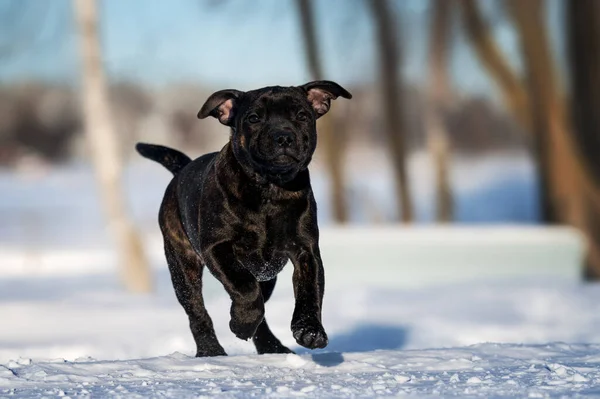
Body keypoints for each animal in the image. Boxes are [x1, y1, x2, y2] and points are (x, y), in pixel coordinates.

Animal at [136, 80, 352, 356]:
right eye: (253, 118)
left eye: (302, 116)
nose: (283, 136)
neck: (270, 189)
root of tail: (182, 171)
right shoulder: (218, 247)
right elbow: (243, 286)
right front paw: (241, 322)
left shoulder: (306, 250)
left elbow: (310, 291)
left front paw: (310, 330)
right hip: (183, 265)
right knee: (197, 310)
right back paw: (211, 349)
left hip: (267, 275)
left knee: (262, 306)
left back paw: (271, 346)